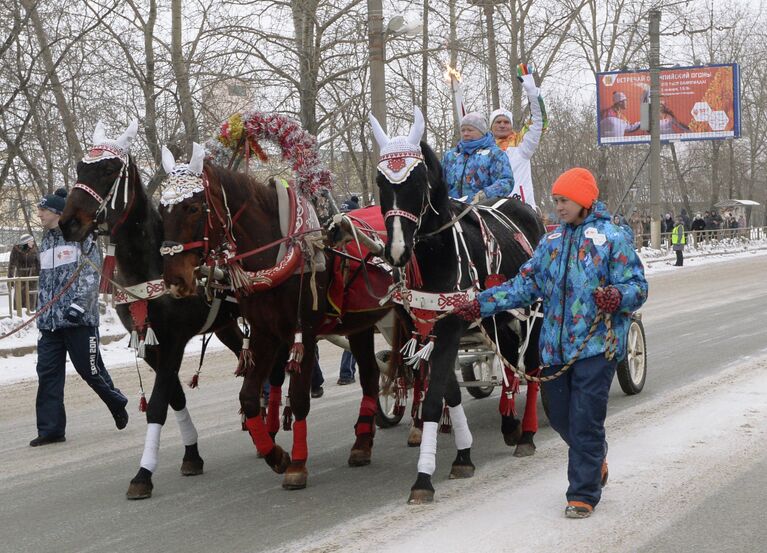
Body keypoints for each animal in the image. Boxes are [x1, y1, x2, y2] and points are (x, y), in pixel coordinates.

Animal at [60, 122, 246, 500]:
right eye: (80, 166)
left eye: (108, 169)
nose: (67, 223)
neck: (150, 266)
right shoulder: (147, 342)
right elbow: (174, 397)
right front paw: (191, 454)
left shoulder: (173, 340)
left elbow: (159, 401)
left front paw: (143, 473)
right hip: (225, 326)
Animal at [159, 144, 392, 490]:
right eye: (161, 210)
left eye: (193, 207)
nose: (175, 279)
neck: (278, 251)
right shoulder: (264, 332)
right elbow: (248, 397)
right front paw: (276, 455)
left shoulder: (303, 332)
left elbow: (298, 397)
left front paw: (297, 464)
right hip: (360, 322)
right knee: (372, 375)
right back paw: (362, 443)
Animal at [368, 108, 544, 504]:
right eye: (380, 180)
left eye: (418, 180)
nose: (396, 250)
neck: (438, 254)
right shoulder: (426, 325)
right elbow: (448, 391)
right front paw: (463, 454)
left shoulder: (449, 326)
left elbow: (435, 399)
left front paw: (423, 478)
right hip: (498, 320)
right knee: (509, 367)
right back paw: (510, 424)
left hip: (533, 314)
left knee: (532, 368)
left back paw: (526, 434)